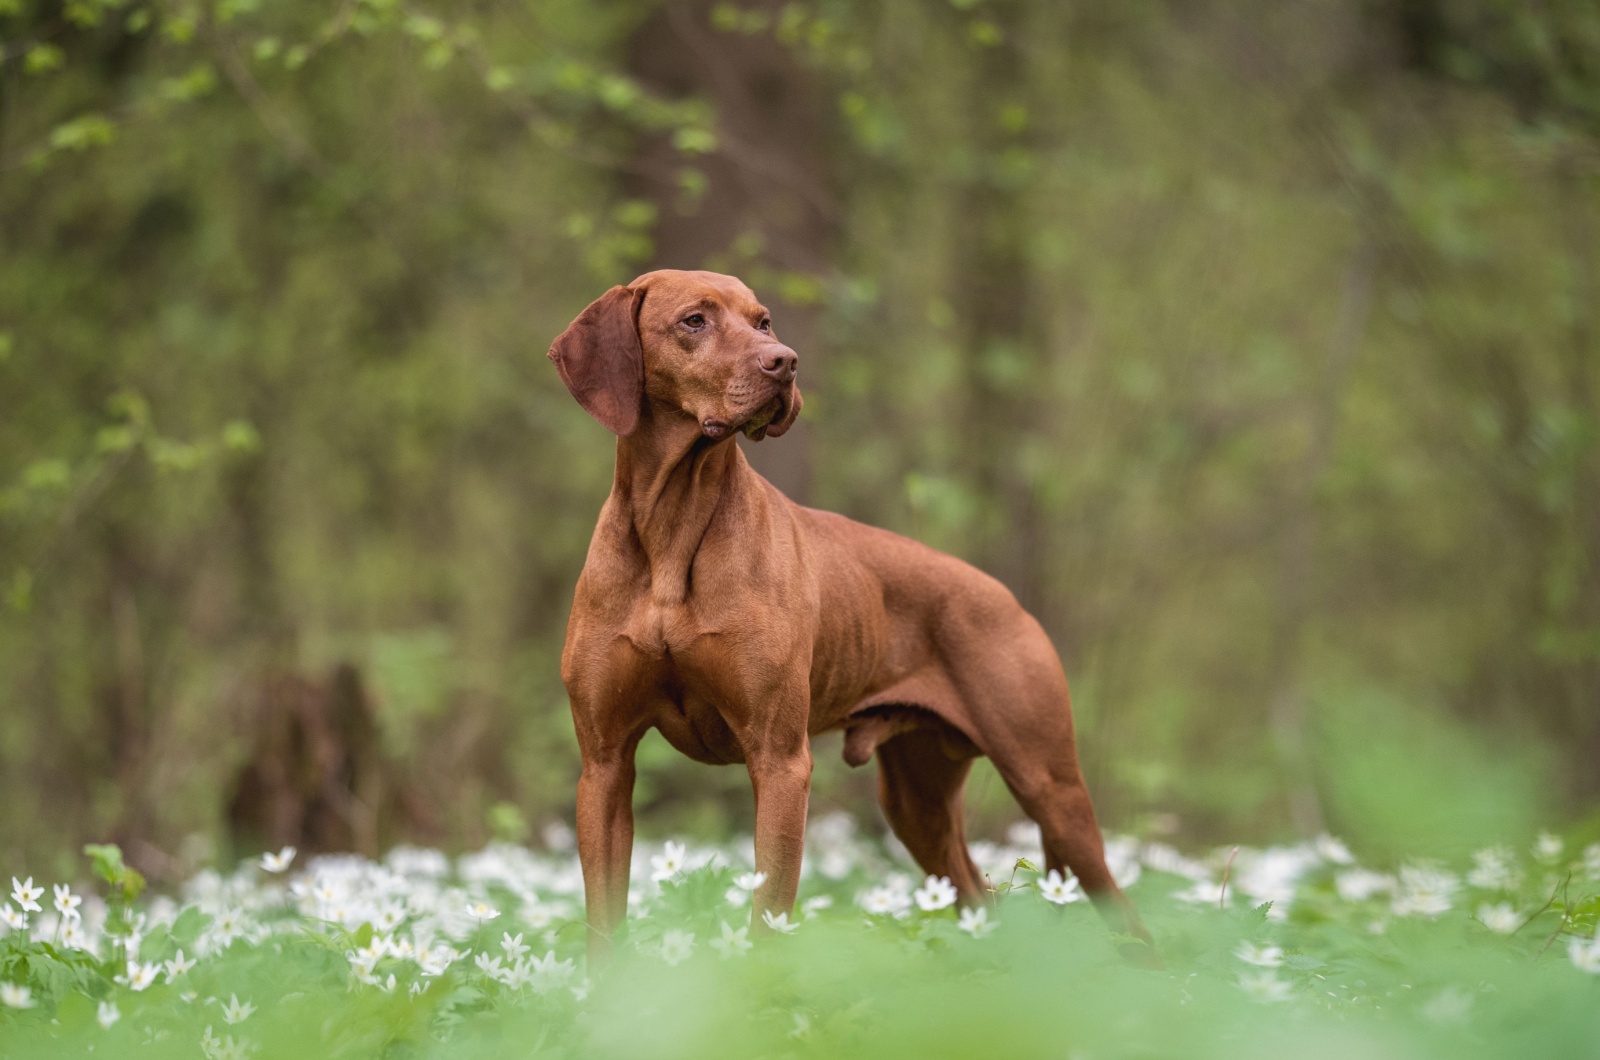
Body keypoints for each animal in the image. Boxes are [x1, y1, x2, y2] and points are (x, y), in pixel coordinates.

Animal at [550, 270, 1152, 960]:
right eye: (693, 321)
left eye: (763, 322)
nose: (784, 362)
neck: (672, 530)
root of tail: (1008, 598)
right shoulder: (604, 765)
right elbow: (603, 925)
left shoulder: (780, 760)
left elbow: (768, 916)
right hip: (917, 802)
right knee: (979, 896)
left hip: (1051, 789)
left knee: (1130, 920)